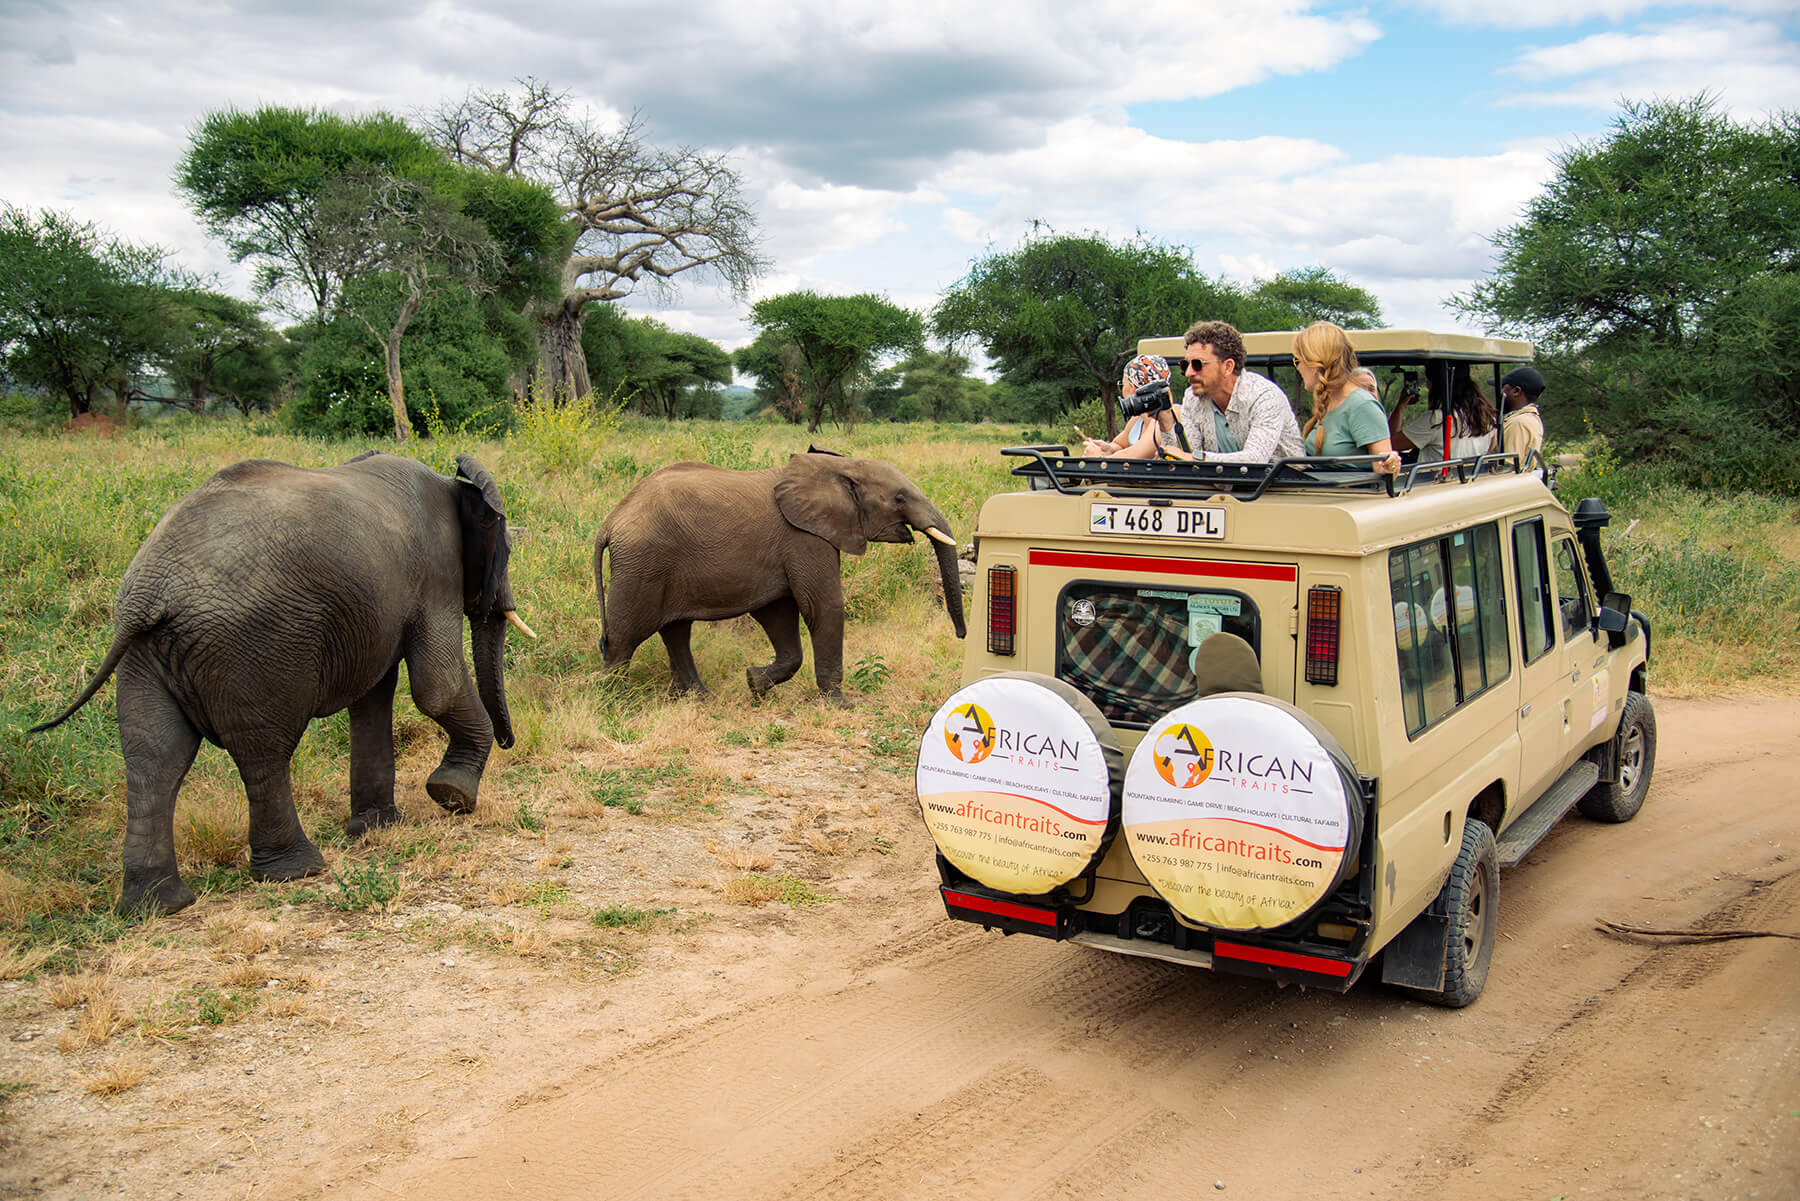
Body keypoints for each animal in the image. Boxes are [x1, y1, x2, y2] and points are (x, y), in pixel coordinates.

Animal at [31, 448, 529, 911]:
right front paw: (452, 797)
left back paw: (159, 904)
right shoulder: (436, 572)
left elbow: (373, 699)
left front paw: (380, 827)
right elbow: (436, 687)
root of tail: (149, 592)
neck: (453, 483)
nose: (510, 742)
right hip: (254, 645)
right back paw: (295, 871)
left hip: (146, 655)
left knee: (155, 756)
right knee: (263, 753)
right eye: (505, 554)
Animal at [594, 450, 964, 698]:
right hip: (642, 563)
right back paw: (612, 700)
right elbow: (823, 606)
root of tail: (610, 521)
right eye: (899, 498)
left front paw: (754, 684)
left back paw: (700, 699)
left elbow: (778, 614)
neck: (838, 465)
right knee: (625, 636)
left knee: (676, 631)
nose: (961, 635)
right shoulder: (803, 537)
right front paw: (838, 704)